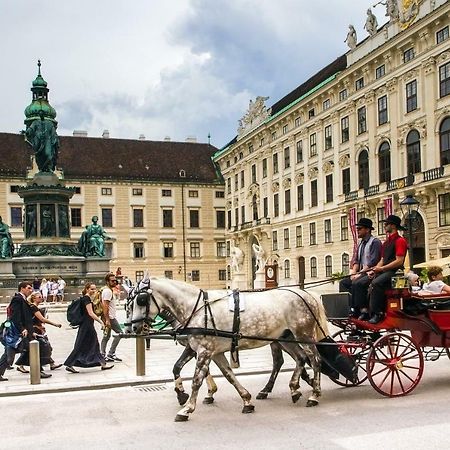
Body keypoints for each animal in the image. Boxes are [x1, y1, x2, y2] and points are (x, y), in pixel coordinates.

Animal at [125, 274, 328, 422]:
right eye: (128, 304)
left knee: (315, 360)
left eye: (141, 300)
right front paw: (246, 400)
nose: (131, 328)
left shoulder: (204, 350)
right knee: (299, 358)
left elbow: (197, 379)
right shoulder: (211, 351)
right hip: (285, 337)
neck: (196, 308)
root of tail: (306, 294)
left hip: (303, 335)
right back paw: (293, 388)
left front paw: (187, 408)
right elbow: (227, 374)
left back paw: (314, 394)